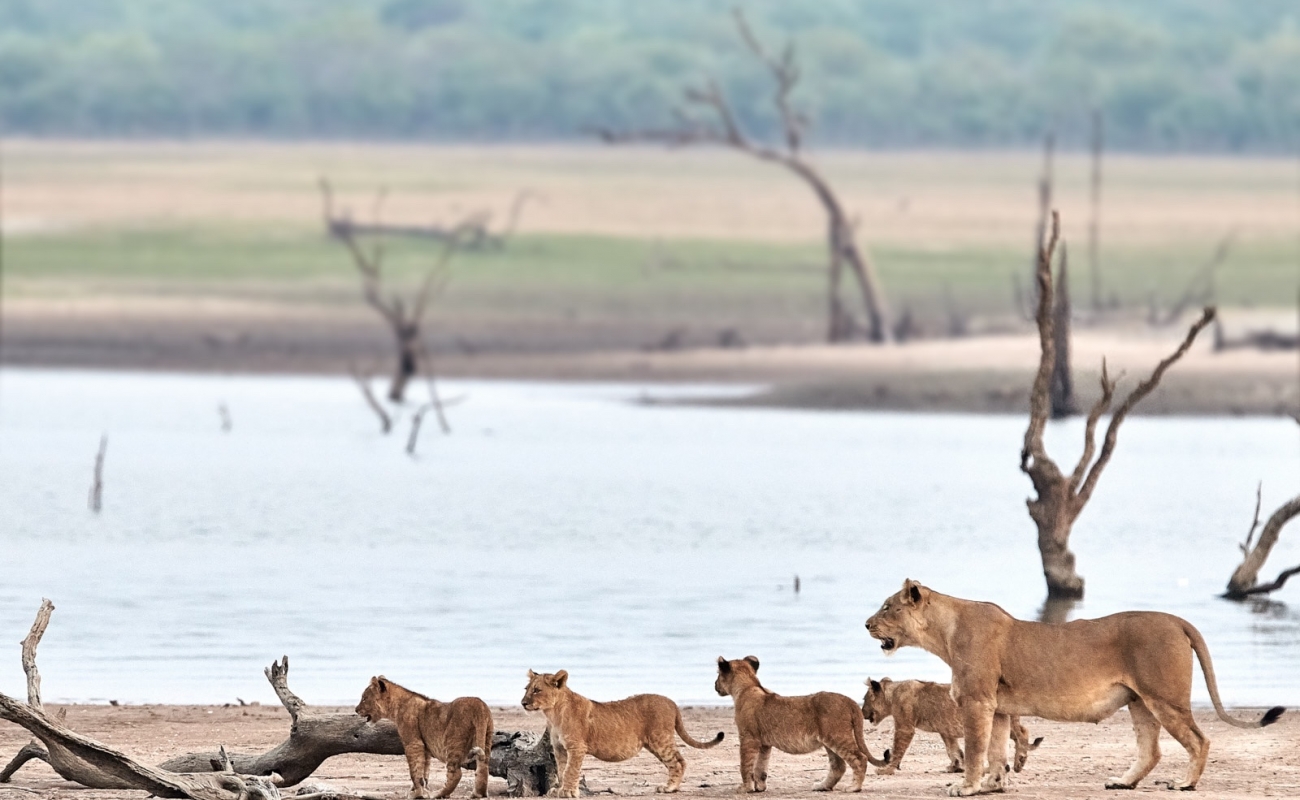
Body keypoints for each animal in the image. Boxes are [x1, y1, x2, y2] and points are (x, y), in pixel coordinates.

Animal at [355, 676, 493, 799]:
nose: (356, 710)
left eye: (364, 698)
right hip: (487, 738)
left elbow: (414, 771)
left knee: (456, 774)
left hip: (453, 742)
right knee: (484, 767)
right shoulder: (425, 747)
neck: (396, 707)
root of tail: (479, 706)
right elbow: (424, 771)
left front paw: (417, 794)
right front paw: (420, 790)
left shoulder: (413, 743)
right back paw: (477, 794)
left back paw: (438, 794)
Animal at [521, 669, 723, 797]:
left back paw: (669, 787)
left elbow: (571, 770)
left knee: (678, 762)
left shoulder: (576, 747)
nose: (523, 703)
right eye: (526, 689)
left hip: (660, 740)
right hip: (655, 743)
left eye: (537, 690)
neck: (553, 714)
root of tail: (672, 702)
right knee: (679, 761)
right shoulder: (560, 749)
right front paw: (559, 789)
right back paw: (672, 787)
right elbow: (562, 770)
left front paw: (569, 792)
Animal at [715, 656, 889, 793]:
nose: (715, 685)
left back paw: (854, 787)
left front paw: (745, 788)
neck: (748, 686)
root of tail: (850, 701)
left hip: (838, 737)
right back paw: (822, 786)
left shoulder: (748, 738)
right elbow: (760, 766)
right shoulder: (764, 743)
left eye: (717, 675)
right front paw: (760, 787)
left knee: (860, 758)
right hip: (829, 741)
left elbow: (745, 765)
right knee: (838, 766)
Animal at [861, 677, 1042, 774]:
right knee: (1022, 732)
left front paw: (887, 769)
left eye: (864, 699)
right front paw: (956, 767)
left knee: (1023, 734)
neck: (892, 694)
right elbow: (953, 750)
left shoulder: (905, 727)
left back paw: (1019, 761)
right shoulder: (945, 731)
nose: (862, 712)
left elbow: (897, 749)